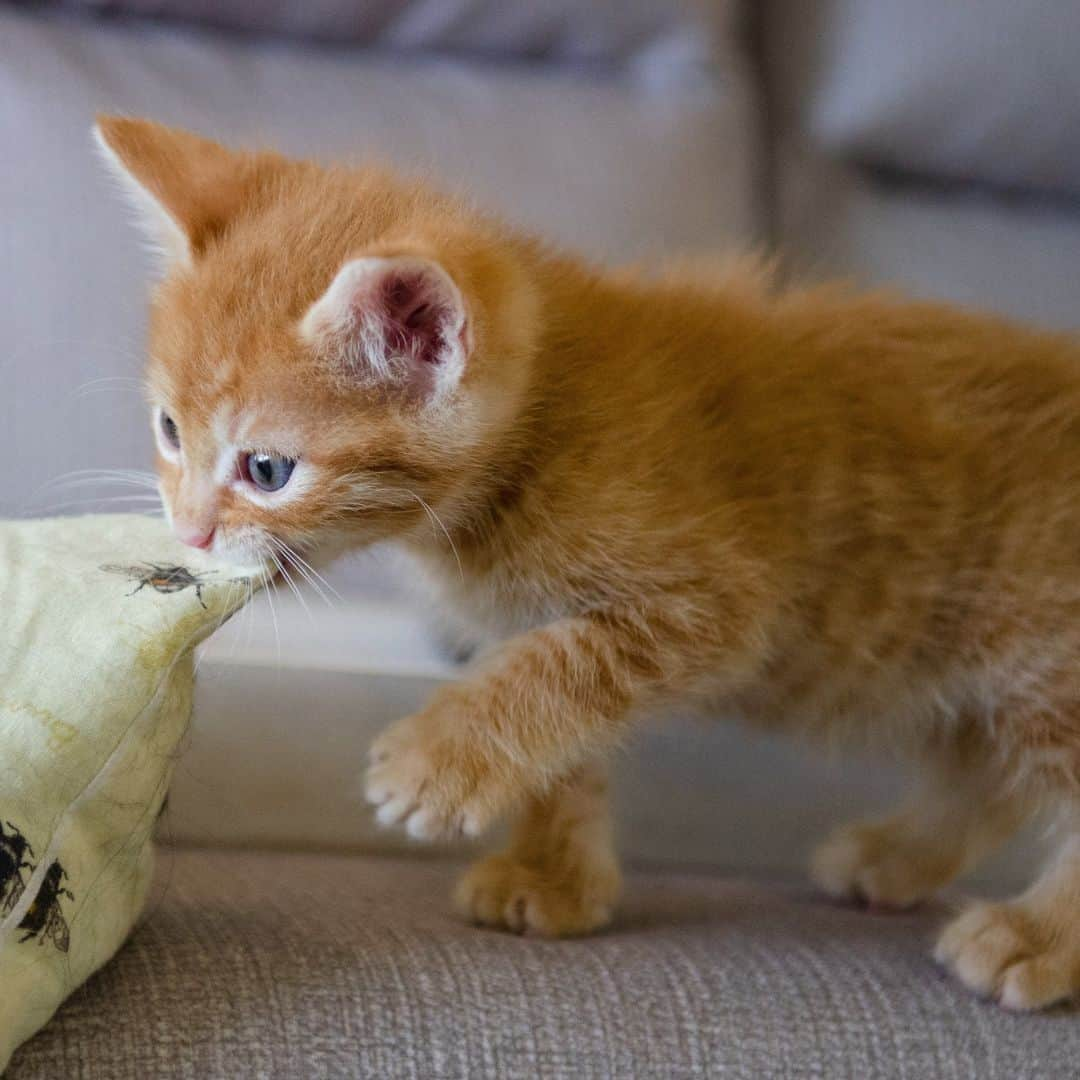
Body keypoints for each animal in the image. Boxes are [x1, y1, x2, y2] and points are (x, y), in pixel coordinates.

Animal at [95, 118, 1080, 1010]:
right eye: (169, 431)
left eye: (268, 470)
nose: (189, 532)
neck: (540, 430)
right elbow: (562, 727)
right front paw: (552, 876)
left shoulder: (722, 600)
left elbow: (558, 671)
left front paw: (439, 763)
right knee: (986, 772)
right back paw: (898, 858)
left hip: (1041, 656)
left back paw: (1033, 938)